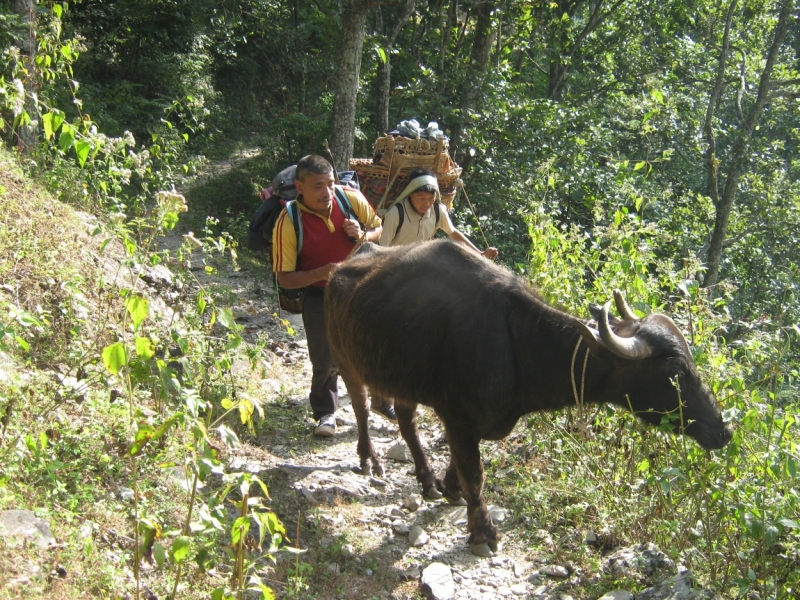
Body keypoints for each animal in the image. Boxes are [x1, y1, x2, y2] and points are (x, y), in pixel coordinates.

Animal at [324, 237, 732, 556]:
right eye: (676, 374)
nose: (723, 431)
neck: (517, 345)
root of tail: (339, 270)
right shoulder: (457, 416)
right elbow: (475, 474)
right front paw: (482, 531)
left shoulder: (470, 423)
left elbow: (460, 465)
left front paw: (450, 488)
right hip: (345, 361)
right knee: (361, 408)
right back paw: (369, 459)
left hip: (399, 379)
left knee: (407, 423)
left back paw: (426, 481)